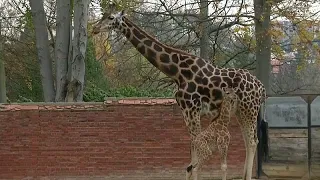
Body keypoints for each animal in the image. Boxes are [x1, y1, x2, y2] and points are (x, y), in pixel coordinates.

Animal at [92, 3, 264, 179]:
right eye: (103, 14)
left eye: (111, 17)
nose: (95, 28)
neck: (177, 72)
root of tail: (261, 87)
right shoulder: (185, 111)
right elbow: (192, 149)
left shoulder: (192, 109)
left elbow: (195, 145)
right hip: (240, 111)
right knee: (248, 140)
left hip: (249, 110)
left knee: (252, 141)